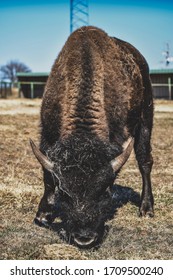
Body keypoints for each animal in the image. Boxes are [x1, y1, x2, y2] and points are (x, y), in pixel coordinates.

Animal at [30, 26, 153, 247]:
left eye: (104, 191)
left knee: (144, 161)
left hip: (146, 117)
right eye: (65, 194)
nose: (84, 238)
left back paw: (146, 208)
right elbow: (48, 176)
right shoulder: (47, 133)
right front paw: (43, 215)